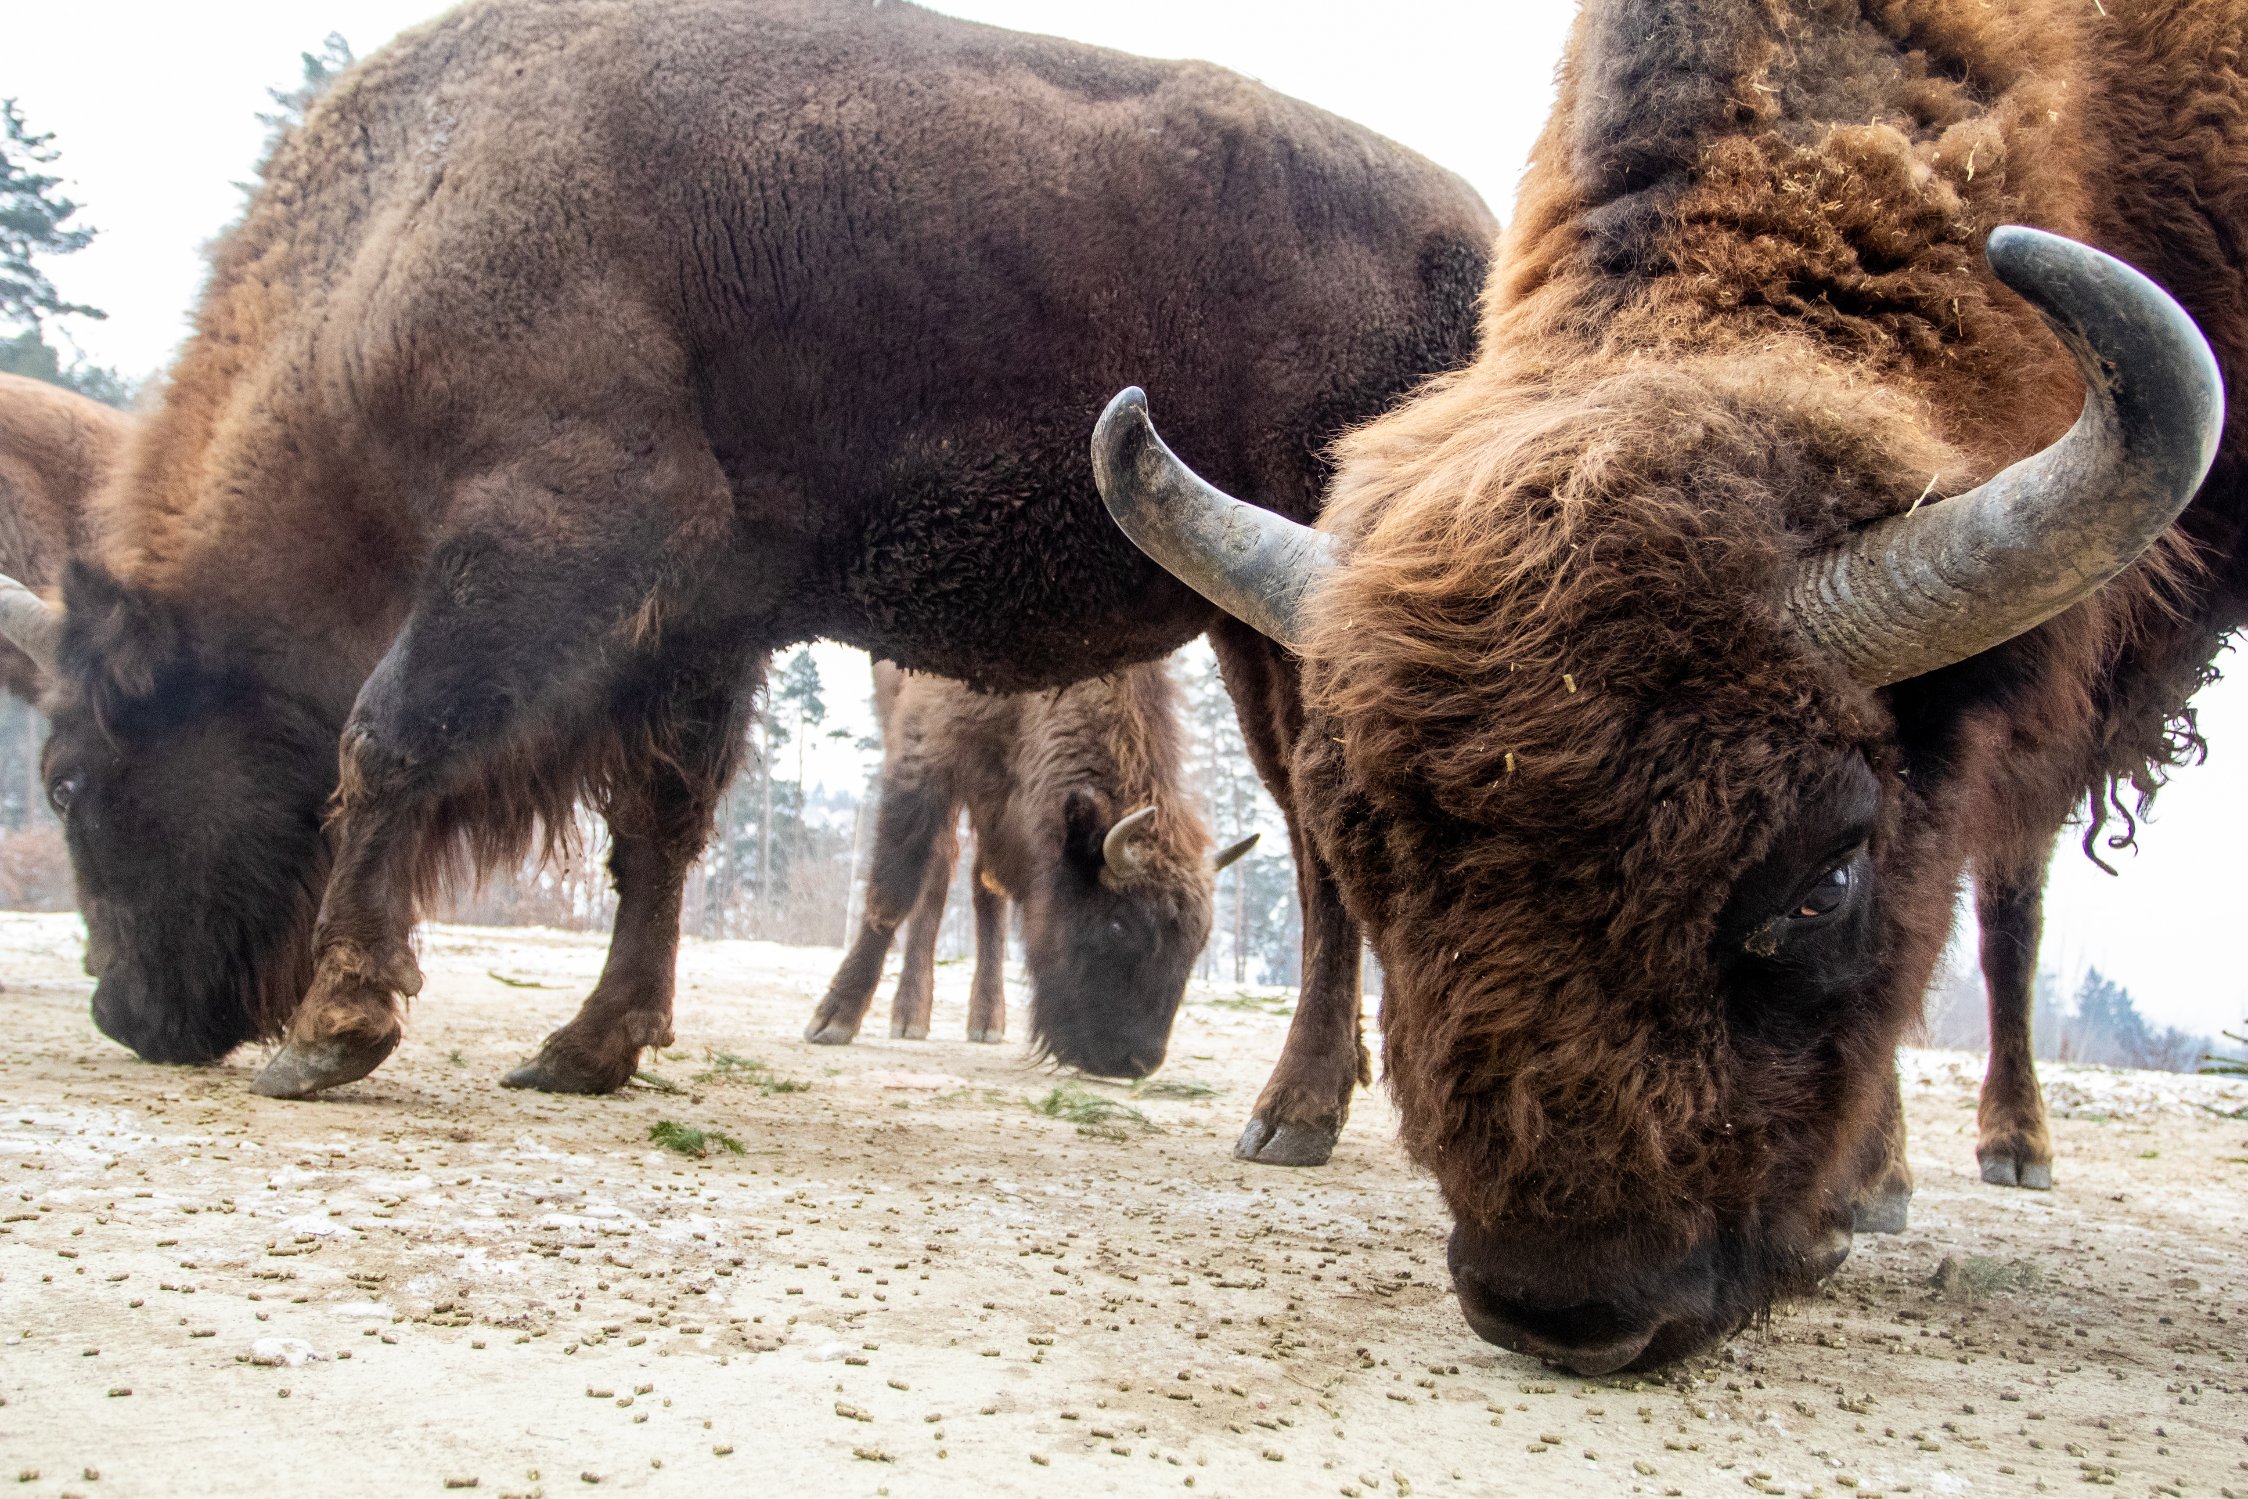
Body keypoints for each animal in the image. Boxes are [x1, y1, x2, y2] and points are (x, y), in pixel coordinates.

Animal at [806, 659, 1257, 1078]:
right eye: (1117, 924)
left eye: (1197, 942)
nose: (1138, 1063)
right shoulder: (926, 747)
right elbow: (893, 891)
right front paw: (833, 1020)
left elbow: (986, 887)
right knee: (938, 870)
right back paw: (909, 1017)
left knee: (982, 887)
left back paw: (985, 1021)